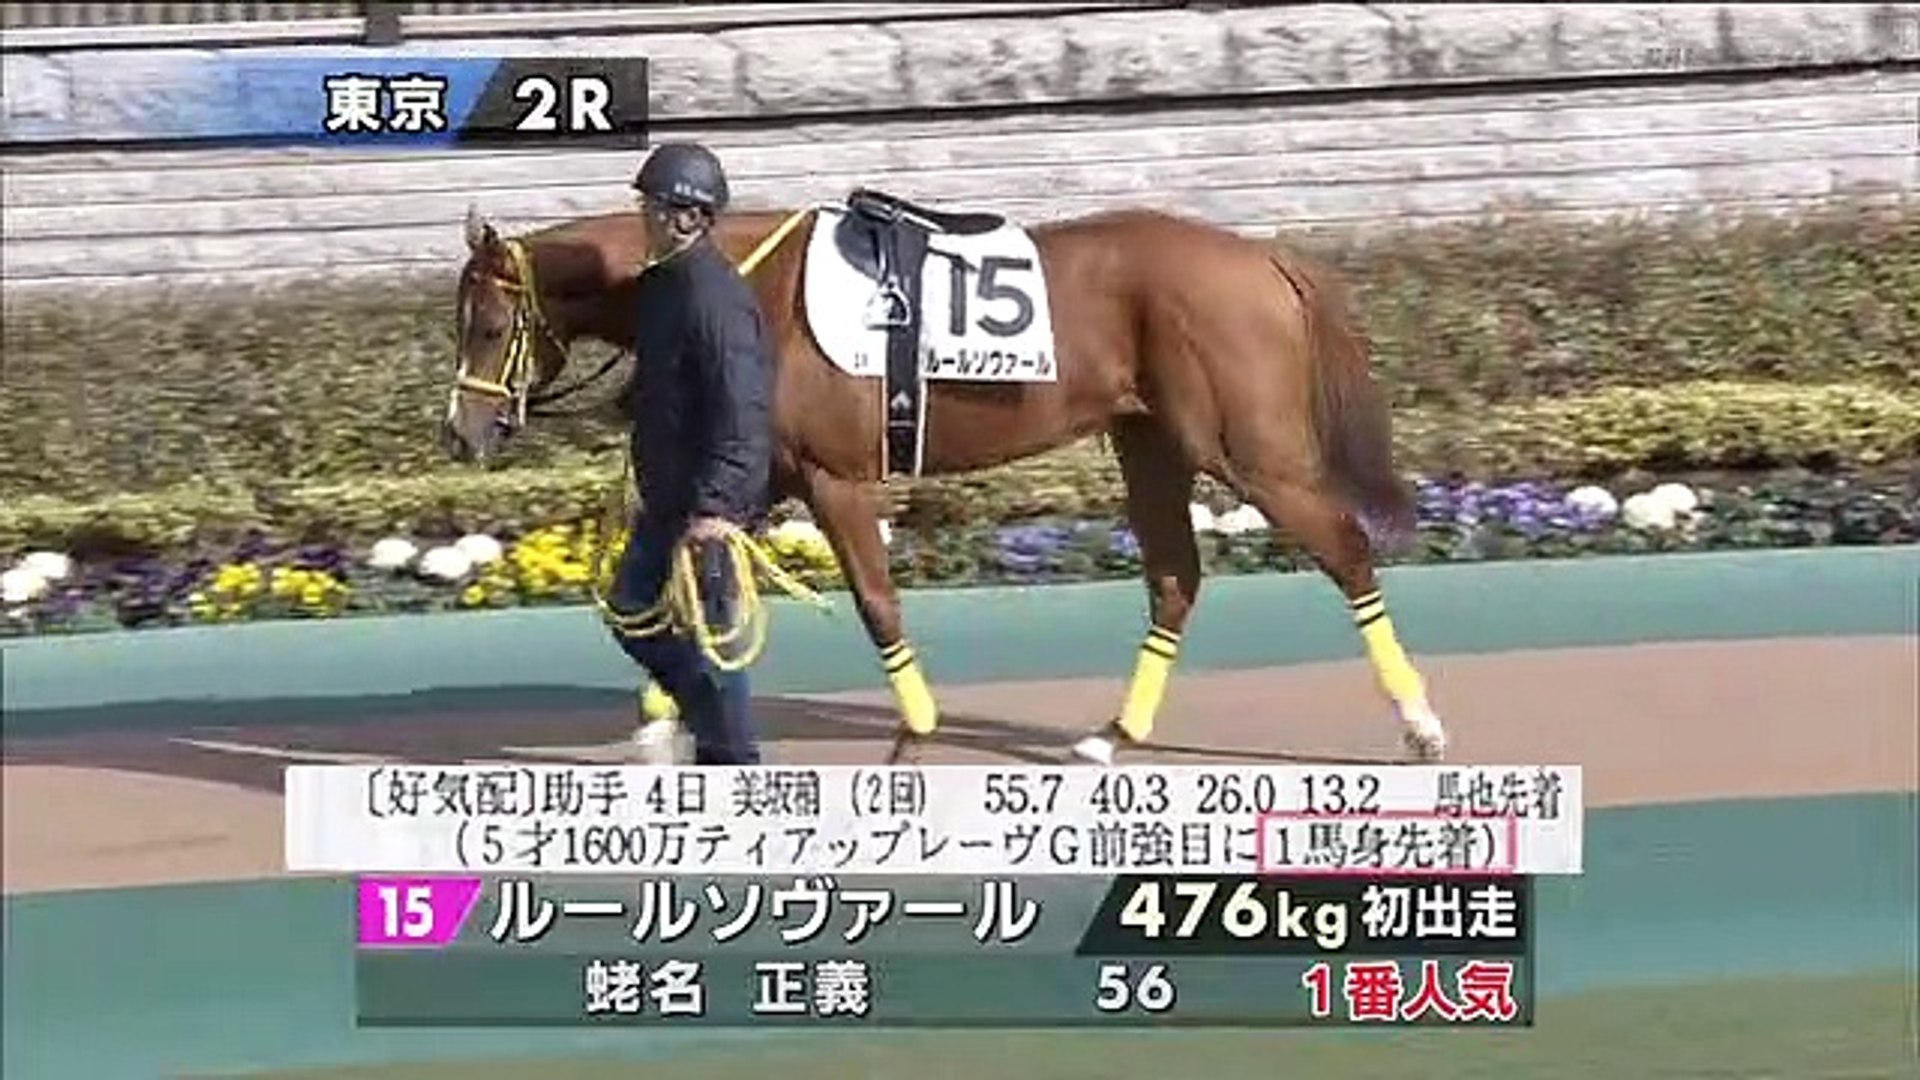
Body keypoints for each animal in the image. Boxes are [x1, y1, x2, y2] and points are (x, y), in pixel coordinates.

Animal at [443, 192, 1449, 767]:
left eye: (487, 327)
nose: (461, 432)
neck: (747, 283)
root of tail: (1263, 257)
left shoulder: (835, 480)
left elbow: (875, 601)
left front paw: (915, 726)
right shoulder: (763, 474)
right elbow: (683, 581)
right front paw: (663, 715)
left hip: (1250, 450)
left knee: (1346, 550)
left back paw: (1418, 723)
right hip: (1153, 444)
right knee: (1174, 579)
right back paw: (1112, 734)